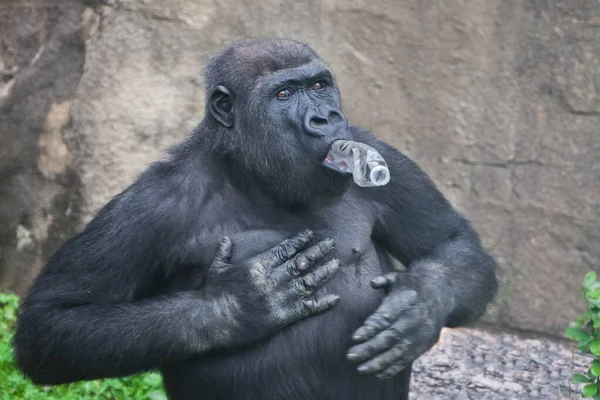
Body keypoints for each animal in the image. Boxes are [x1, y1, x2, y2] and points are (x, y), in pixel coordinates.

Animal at [15, 38, 496, 400]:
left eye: (319, 85)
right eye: (284, 94)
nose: (325, 118)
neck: (251, 174)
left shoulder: (375, 148)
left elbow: (449, 240)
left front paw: (419, 303)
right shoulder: (154, 202)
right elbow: (53, 321)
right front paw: (240, 304)